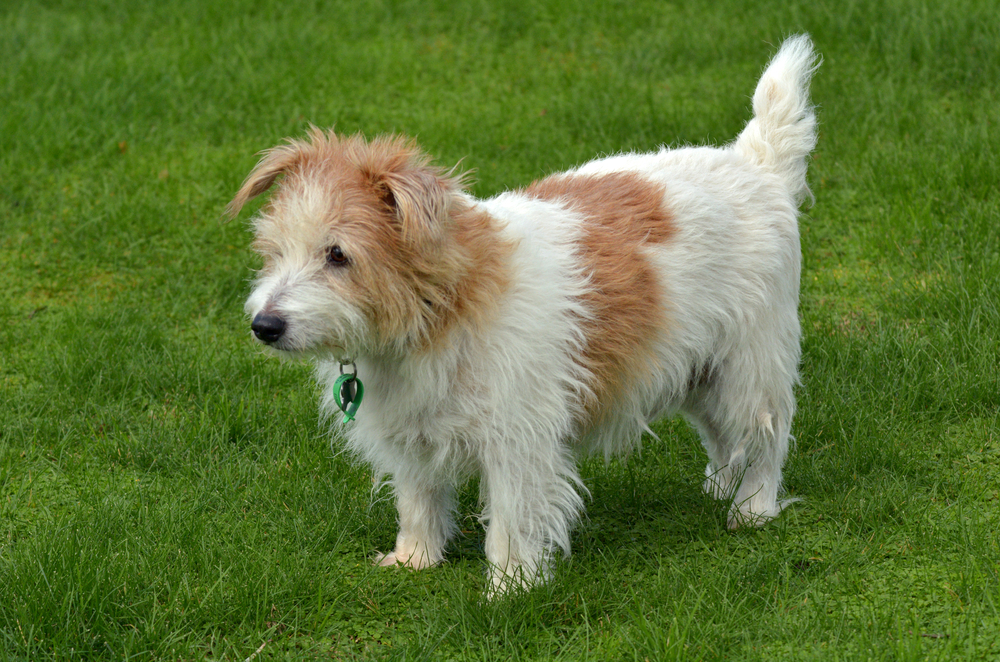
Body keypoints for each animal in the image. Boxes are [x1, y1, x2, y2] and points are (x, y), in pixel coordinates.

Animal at [229, 36, 820, 596]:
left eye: (338, 255)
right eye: (273, 252)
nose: (265, 327)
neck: (445, 307)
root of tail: (755, 165)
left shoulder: (518, 439)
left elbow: (512, 518)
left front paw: (510, 587)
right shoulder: (411, 432)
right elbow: (418, 498)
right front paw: (415, 559)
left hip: (750, 368)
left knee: (765, 438)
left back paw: (752, 509)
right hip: (700, 370)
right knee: (724, 437)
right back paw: (719, 487)